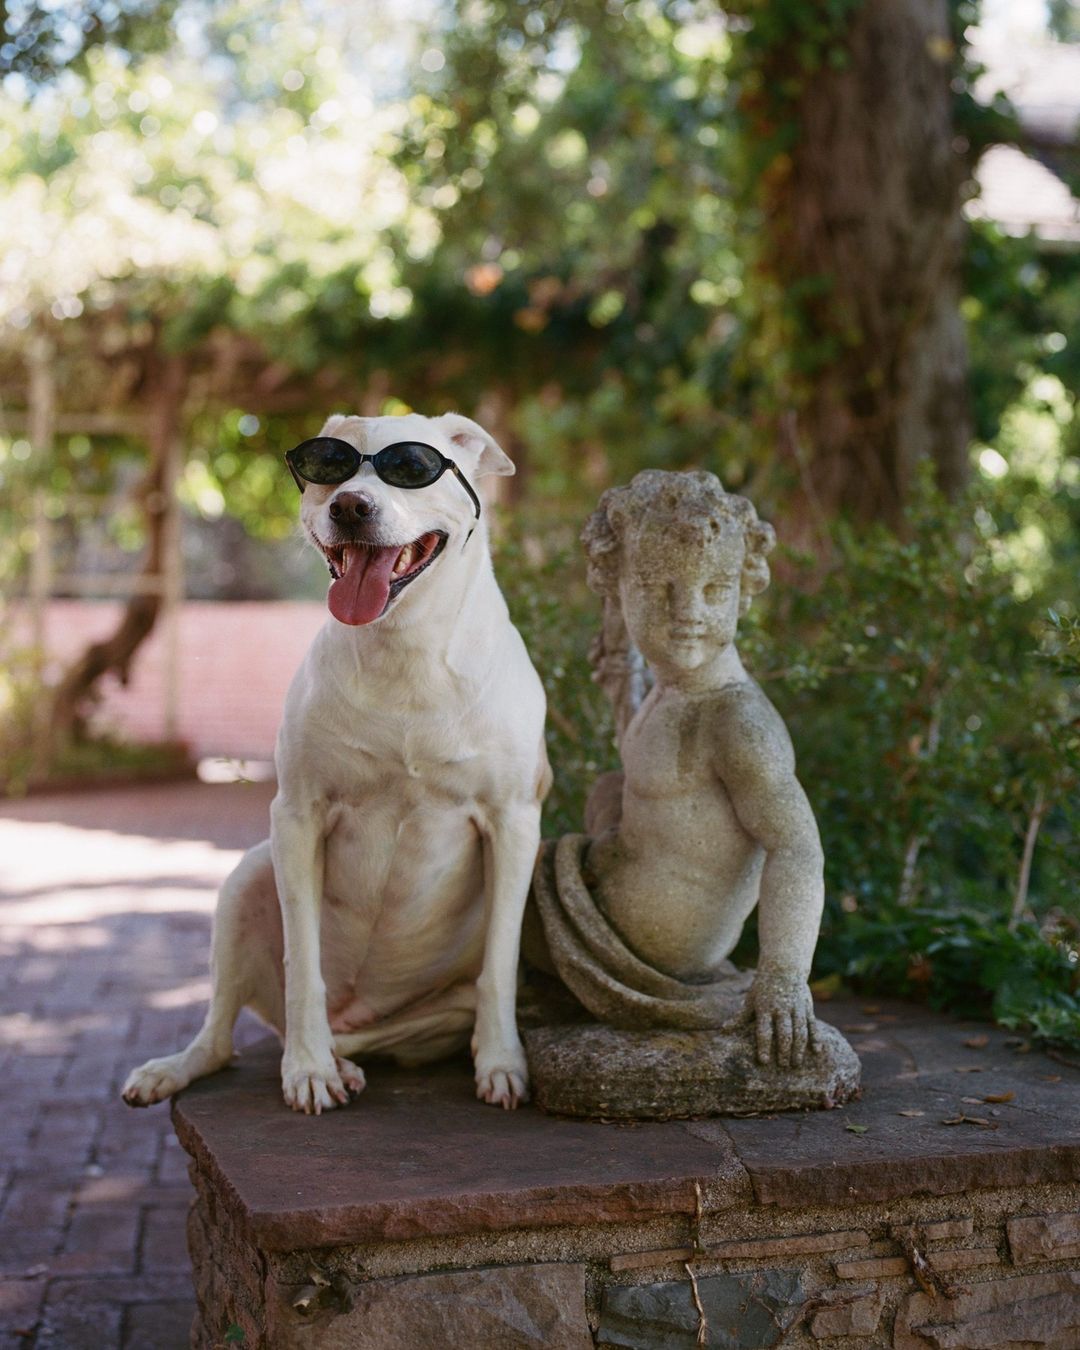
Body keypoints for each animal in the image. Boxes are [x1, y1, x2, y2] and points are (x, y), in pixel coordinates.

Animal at [123, 410, 553, 1107]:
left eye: (413, 466)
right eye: (330, 466)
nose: (350, 505)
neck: (404, 647)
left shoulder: (514, 822)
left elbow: (500, 962)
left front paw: (501, 1063)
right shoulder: (298, 818)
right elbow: (303, 961)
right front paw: (307, 1069)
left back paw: (350, 1058)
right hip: (247, 878)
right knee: (222, 1033)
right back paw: (196, 1067)